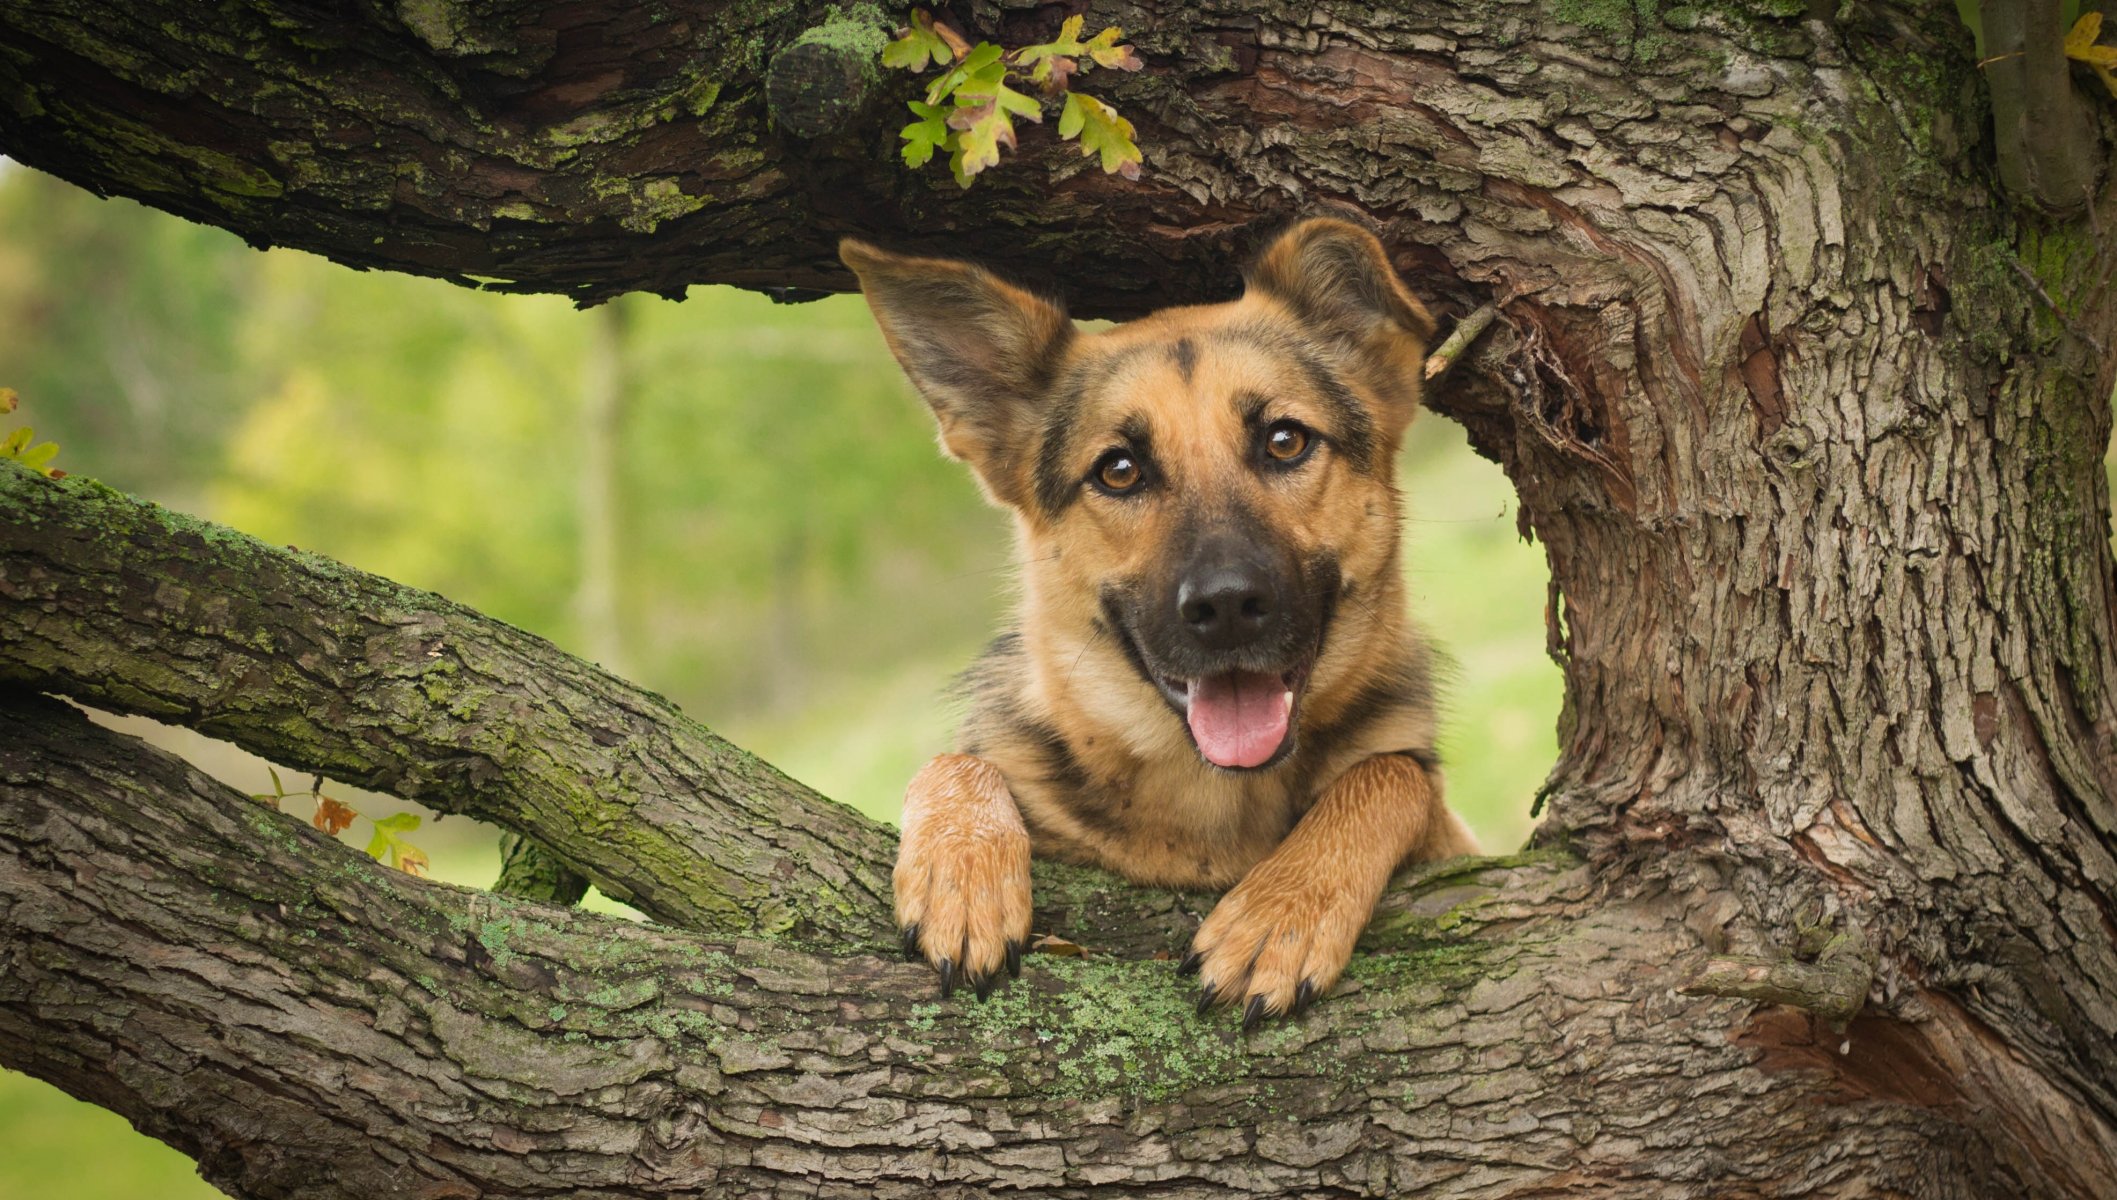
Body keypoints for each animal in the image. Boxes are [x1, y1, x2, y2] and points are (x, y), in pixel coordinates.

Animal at [838, 221, 1473, 1028]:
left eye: (1285, 441)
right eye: (1118, 470)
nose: (1226, 606)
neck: (1212, 798)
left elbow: (1392, 773)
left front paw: (1281, 912)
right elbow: (956, 759)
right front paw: (964, 873)